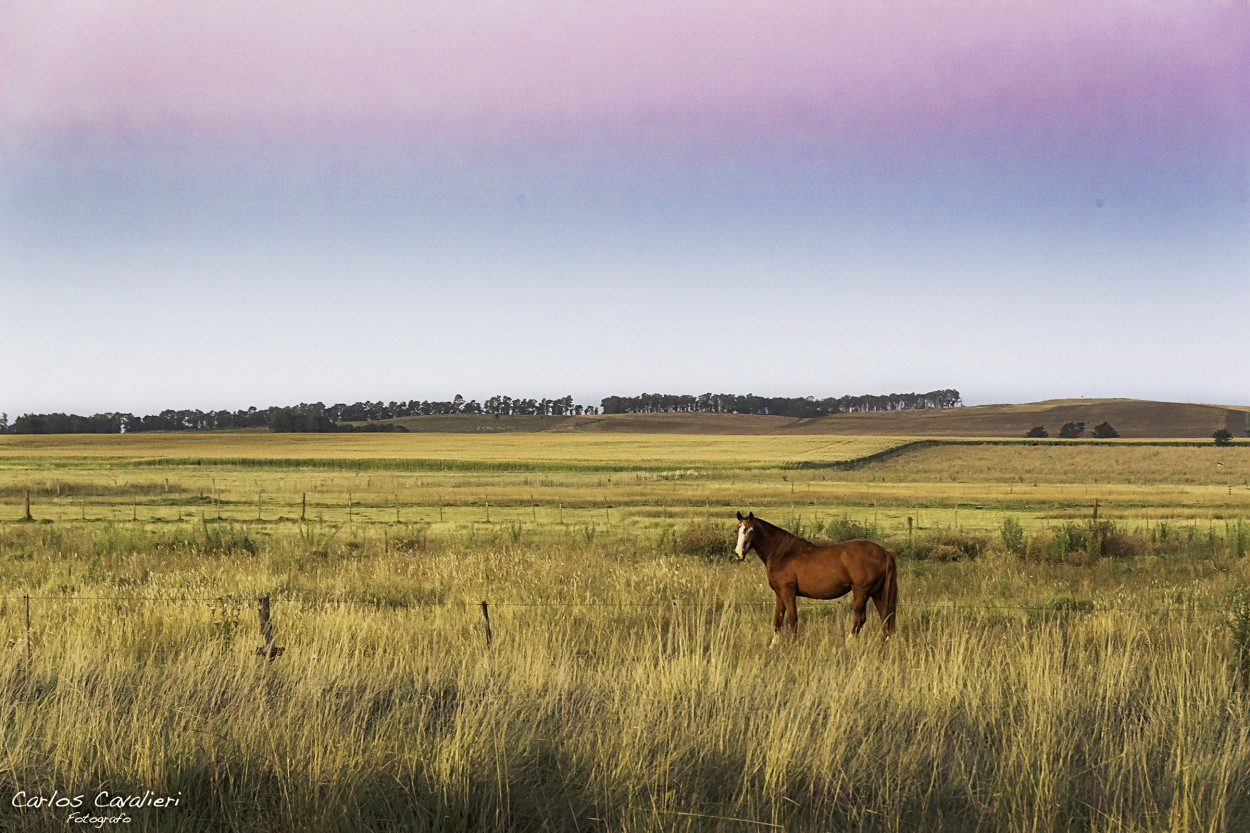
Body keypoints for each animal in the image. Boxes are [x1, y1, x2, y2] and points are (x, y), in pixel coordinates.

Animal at [730, 510, 900, 637]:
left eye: (751, 530)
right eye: (737, 530)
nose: (739, 553)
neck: (782, 553)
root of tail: (884, 552)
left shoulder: (788, 591)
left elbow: (793, 619)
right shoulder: (779, 593)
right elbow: (778, 621)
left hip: (861, 592)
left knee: (859, 619)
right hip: (878, 593)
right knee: (885, 618)